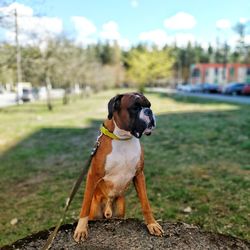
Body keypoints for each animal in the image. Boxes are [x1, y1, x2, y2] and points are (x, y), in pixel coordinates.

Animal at [73, 93, 164, 241]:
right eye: (135, 107)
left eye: (149, 105)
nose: (149, 111)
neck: (123, 138)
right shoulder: (92, 175)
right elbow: (85, 204)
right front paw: (81, 229)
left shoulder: (139, 175)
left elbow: (145, 203)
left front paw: (152, 224)